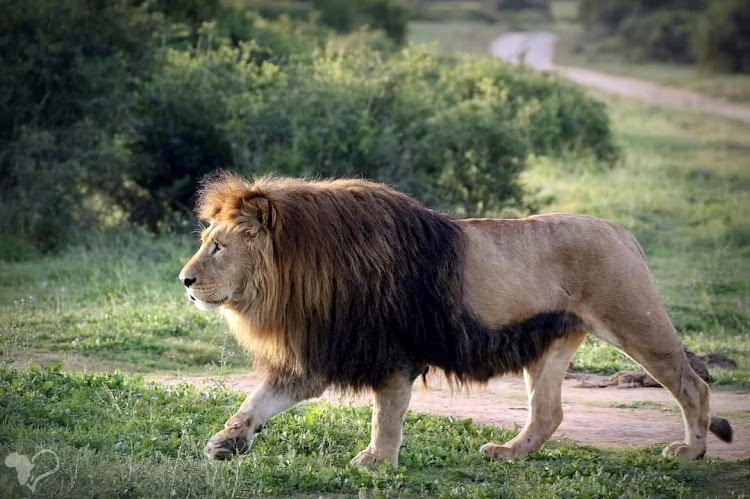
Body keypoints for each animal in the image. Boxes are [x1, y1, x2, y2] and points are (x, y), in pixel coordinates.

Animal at [178, 174, 732, 465]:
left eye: (218, 247)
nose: (184, 280)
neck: (300, 274)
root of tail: (624, 232)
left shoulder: (391, 354)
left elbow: (386, 416)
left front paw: (376, 463)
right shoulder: (323, 352)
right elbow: (258, 400)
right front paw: (227, 441)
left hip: (636, 323)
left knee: (693, 385)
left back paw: (691, 452)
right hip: (551, 344)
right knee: (548, 413)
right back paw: (509, 454)